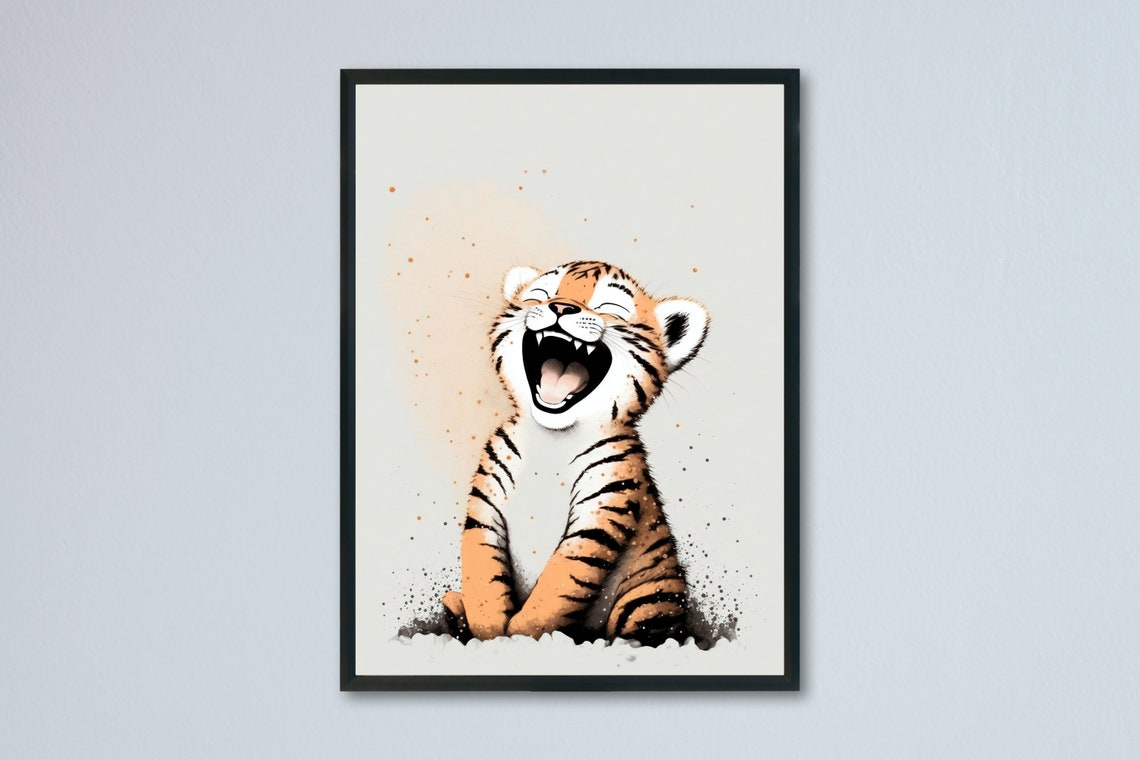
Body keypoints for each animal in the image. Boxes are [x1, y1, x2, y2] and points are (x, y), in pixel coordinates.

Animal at [441, 260, 709, 646]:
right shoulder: (485, 509)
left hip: (649, 596)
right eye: (542, 294)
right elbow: (483, 580)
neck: (552, 437)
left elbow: (556, 589)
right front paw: (489, 635)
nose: (561, 307)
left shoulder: (599, 516)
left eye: (610, 308)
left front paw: (521, 640)